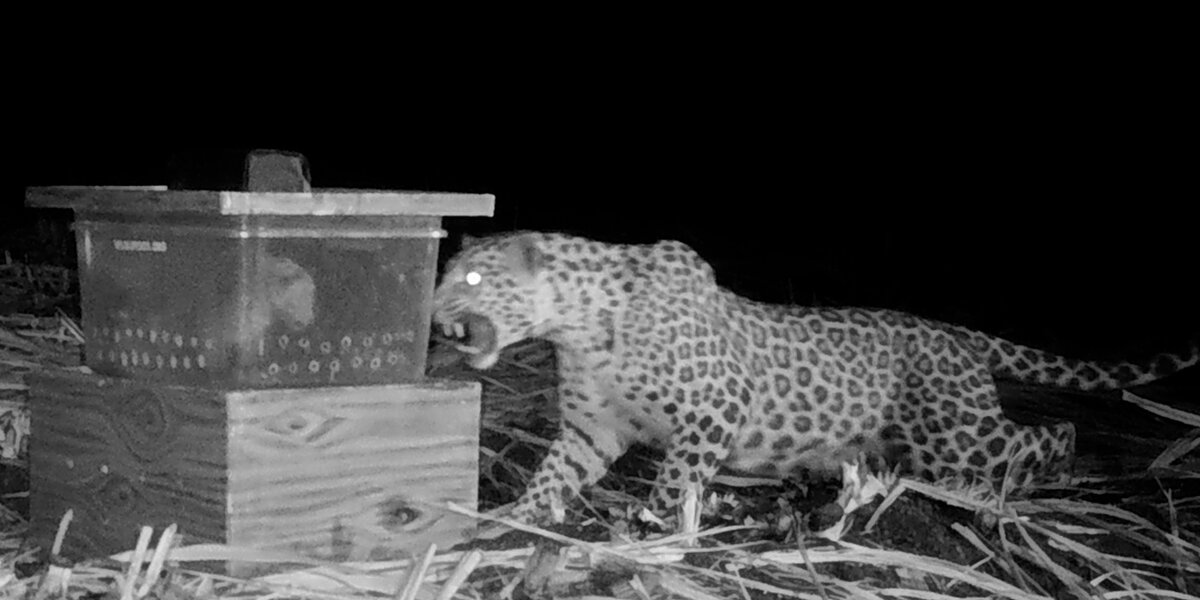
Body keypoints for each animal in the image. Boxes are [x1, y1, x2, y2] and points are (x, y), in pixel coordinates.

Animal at [432, 230, 1198, 526]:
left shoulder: (716, 406)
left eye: (469, 278)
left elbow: (678, 477)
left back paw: (1037, 478)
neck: (578, 325)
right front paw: (519, 515)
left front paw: (653, 521)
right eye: (446, 274)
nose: (435, 318)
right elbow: (555, 473)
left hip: (956, 437)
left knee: (1047, 432)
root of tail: (958, 332)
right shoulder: (595, 427)